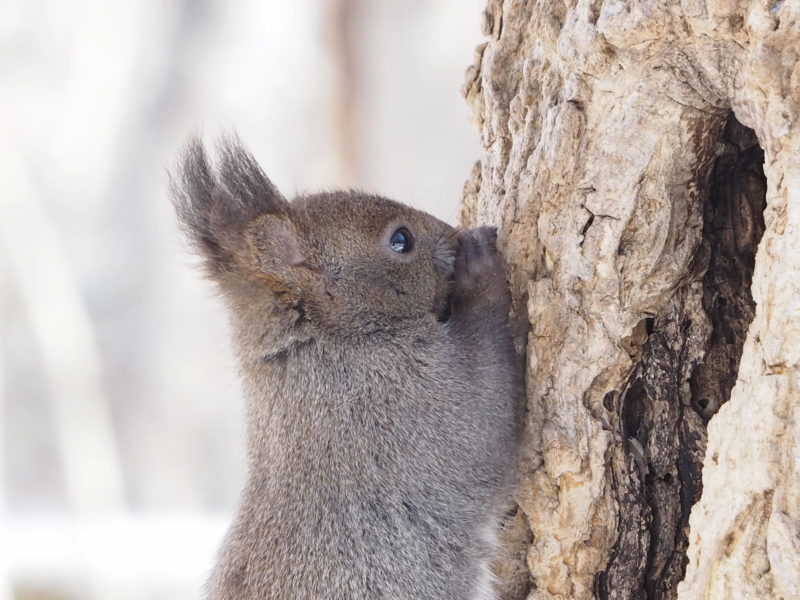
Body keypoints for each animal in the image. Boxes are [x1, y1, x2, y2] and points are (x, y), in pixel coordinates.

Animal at [169, 137, 524, 600]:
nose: (454, 233)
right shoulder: (403, 401)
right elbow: (486, 414)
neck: (331, 337)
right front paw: (480, 264)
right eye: (401, 240)